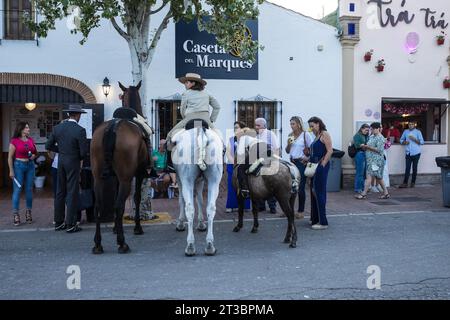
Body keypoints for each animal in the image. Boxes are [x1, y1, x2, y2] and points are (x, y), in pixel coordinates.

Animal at [91, 80, 151, 255]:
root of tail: (112, 128)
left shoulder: (117, 178)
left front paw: (115, 228)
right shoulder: (139, 173)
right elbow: (137, 198)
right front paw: (137, 227)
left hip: (98, 178)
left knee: (98, 206)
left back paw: (98, 243)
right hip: (126, 179)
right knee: (118, 206)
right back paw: (122, 242)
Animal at [171, 126, 222, 256]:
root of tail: (201, 132)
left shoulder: (179, 179)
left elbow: (181, 200)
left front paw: (180, 223)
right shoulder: (201, 180)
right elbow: (200, 199)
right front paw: (201, 223)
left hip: (187, 180)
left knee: (189, 208)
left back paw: (190, 245)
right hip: (214, 180)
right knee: (211, 208)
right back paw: (209, 245)